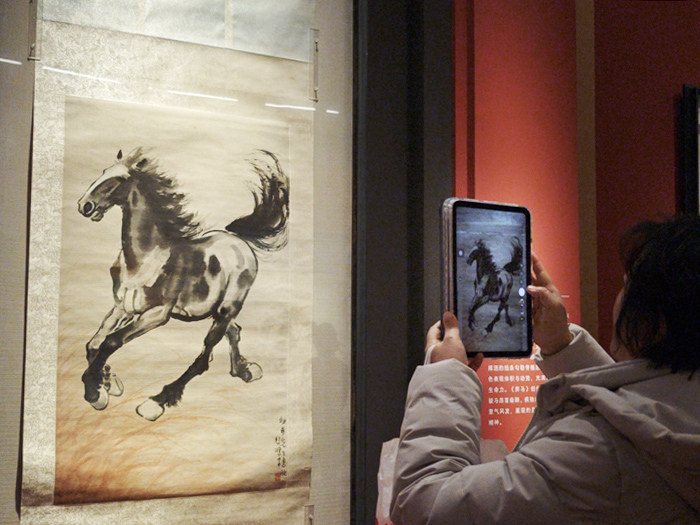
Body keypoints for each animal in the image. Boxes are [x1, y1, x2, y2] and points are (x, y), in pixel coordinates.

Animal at [76, 148, 289, 421]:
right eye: (103, 172)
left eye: (117, 180)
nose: (85, 205)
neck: (144, 259)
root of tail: (237, 239)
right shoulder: (122, 307)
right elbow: (94, 344)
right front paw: (106, 382)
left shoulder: (157, 313)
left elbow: (111, 341)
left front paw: (96, 393)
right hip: (218, 309)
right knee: (234, 331)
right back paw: (246, 371)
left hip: (227, 307)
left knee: (205, 357)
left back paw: (156, 402)